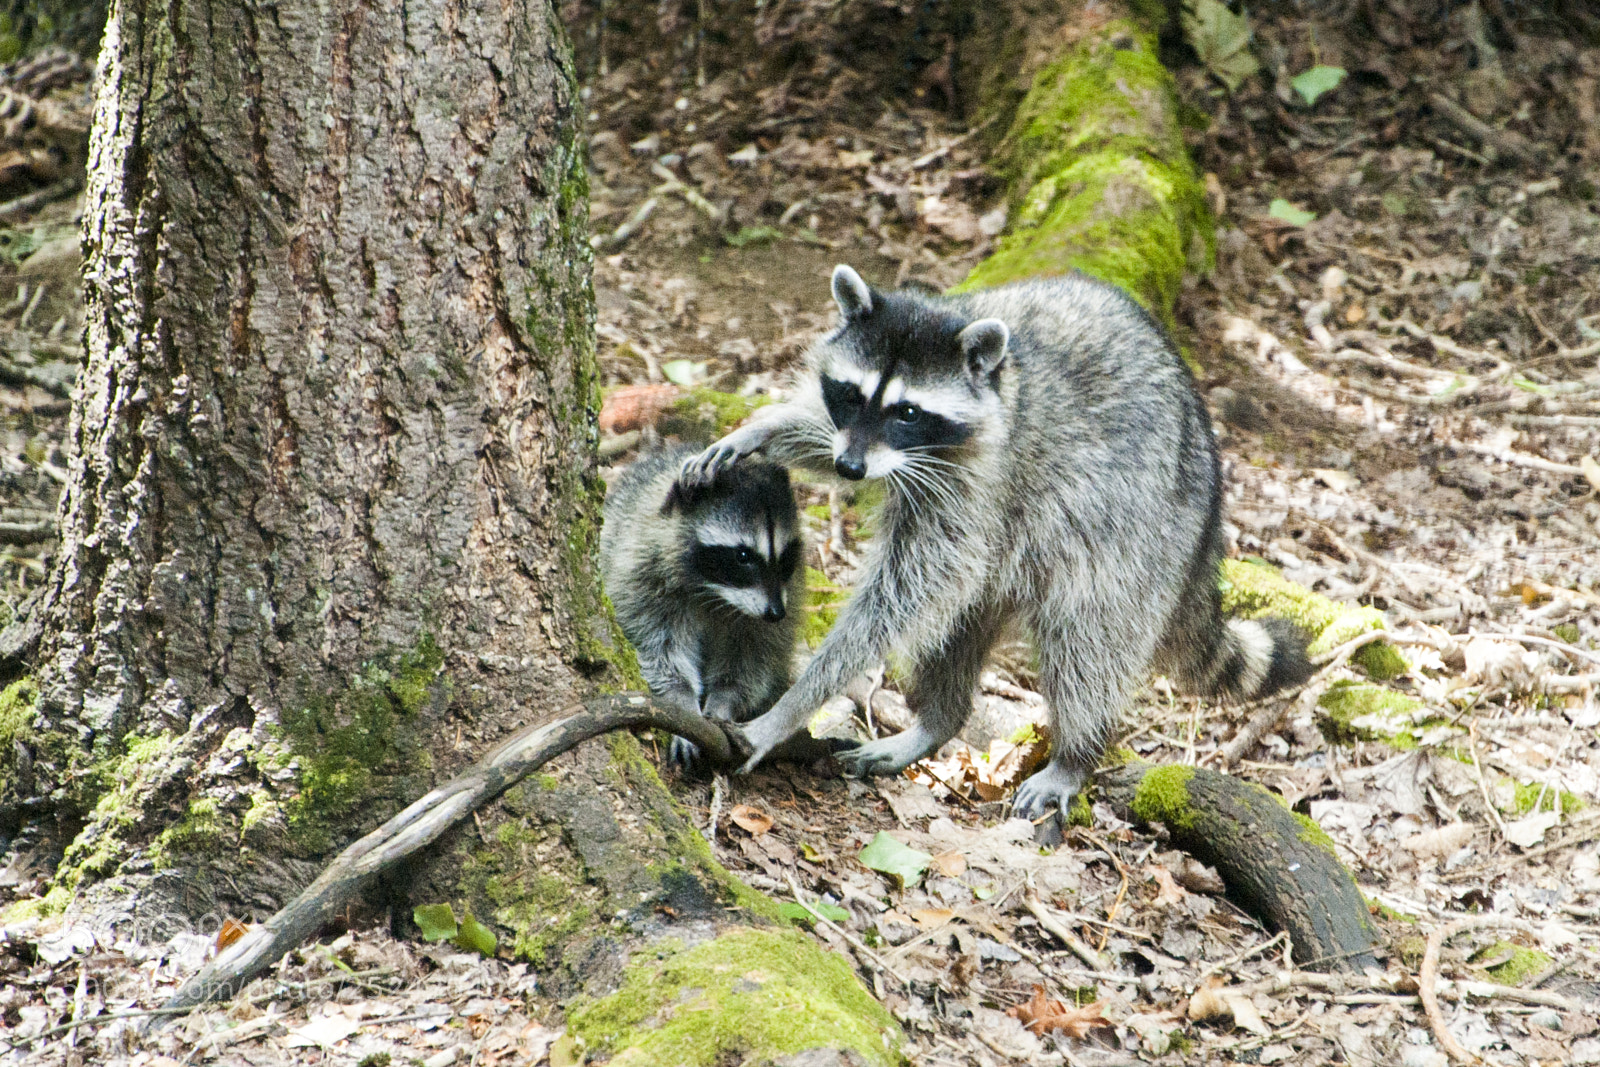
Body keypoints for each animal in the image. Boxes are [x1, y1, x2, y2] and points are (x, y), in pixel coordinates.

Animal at [601, 445, 805, 766]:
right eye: (743, 556)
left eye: (785, 557)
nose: (775, 613)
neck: (717, 592)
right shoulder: (642, 572)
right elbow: (658, 646)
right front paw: (682, 704)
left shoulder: (786, 595)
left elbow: (753, 659)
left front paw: (724, 701)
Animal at [680, 265, 1311, 817]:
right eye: (853, 396)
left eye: (907, 412)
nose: (851, 468)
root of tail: (1209, 492)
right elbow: (824, 437)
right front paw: (768, 427)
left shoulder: (981, 482)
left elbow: (902, 596)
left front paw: (795, 703)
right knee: (957, 631)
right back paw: (938, 720)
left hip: (1136, 536)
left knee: (1087, 642)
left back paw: (1075, 753)